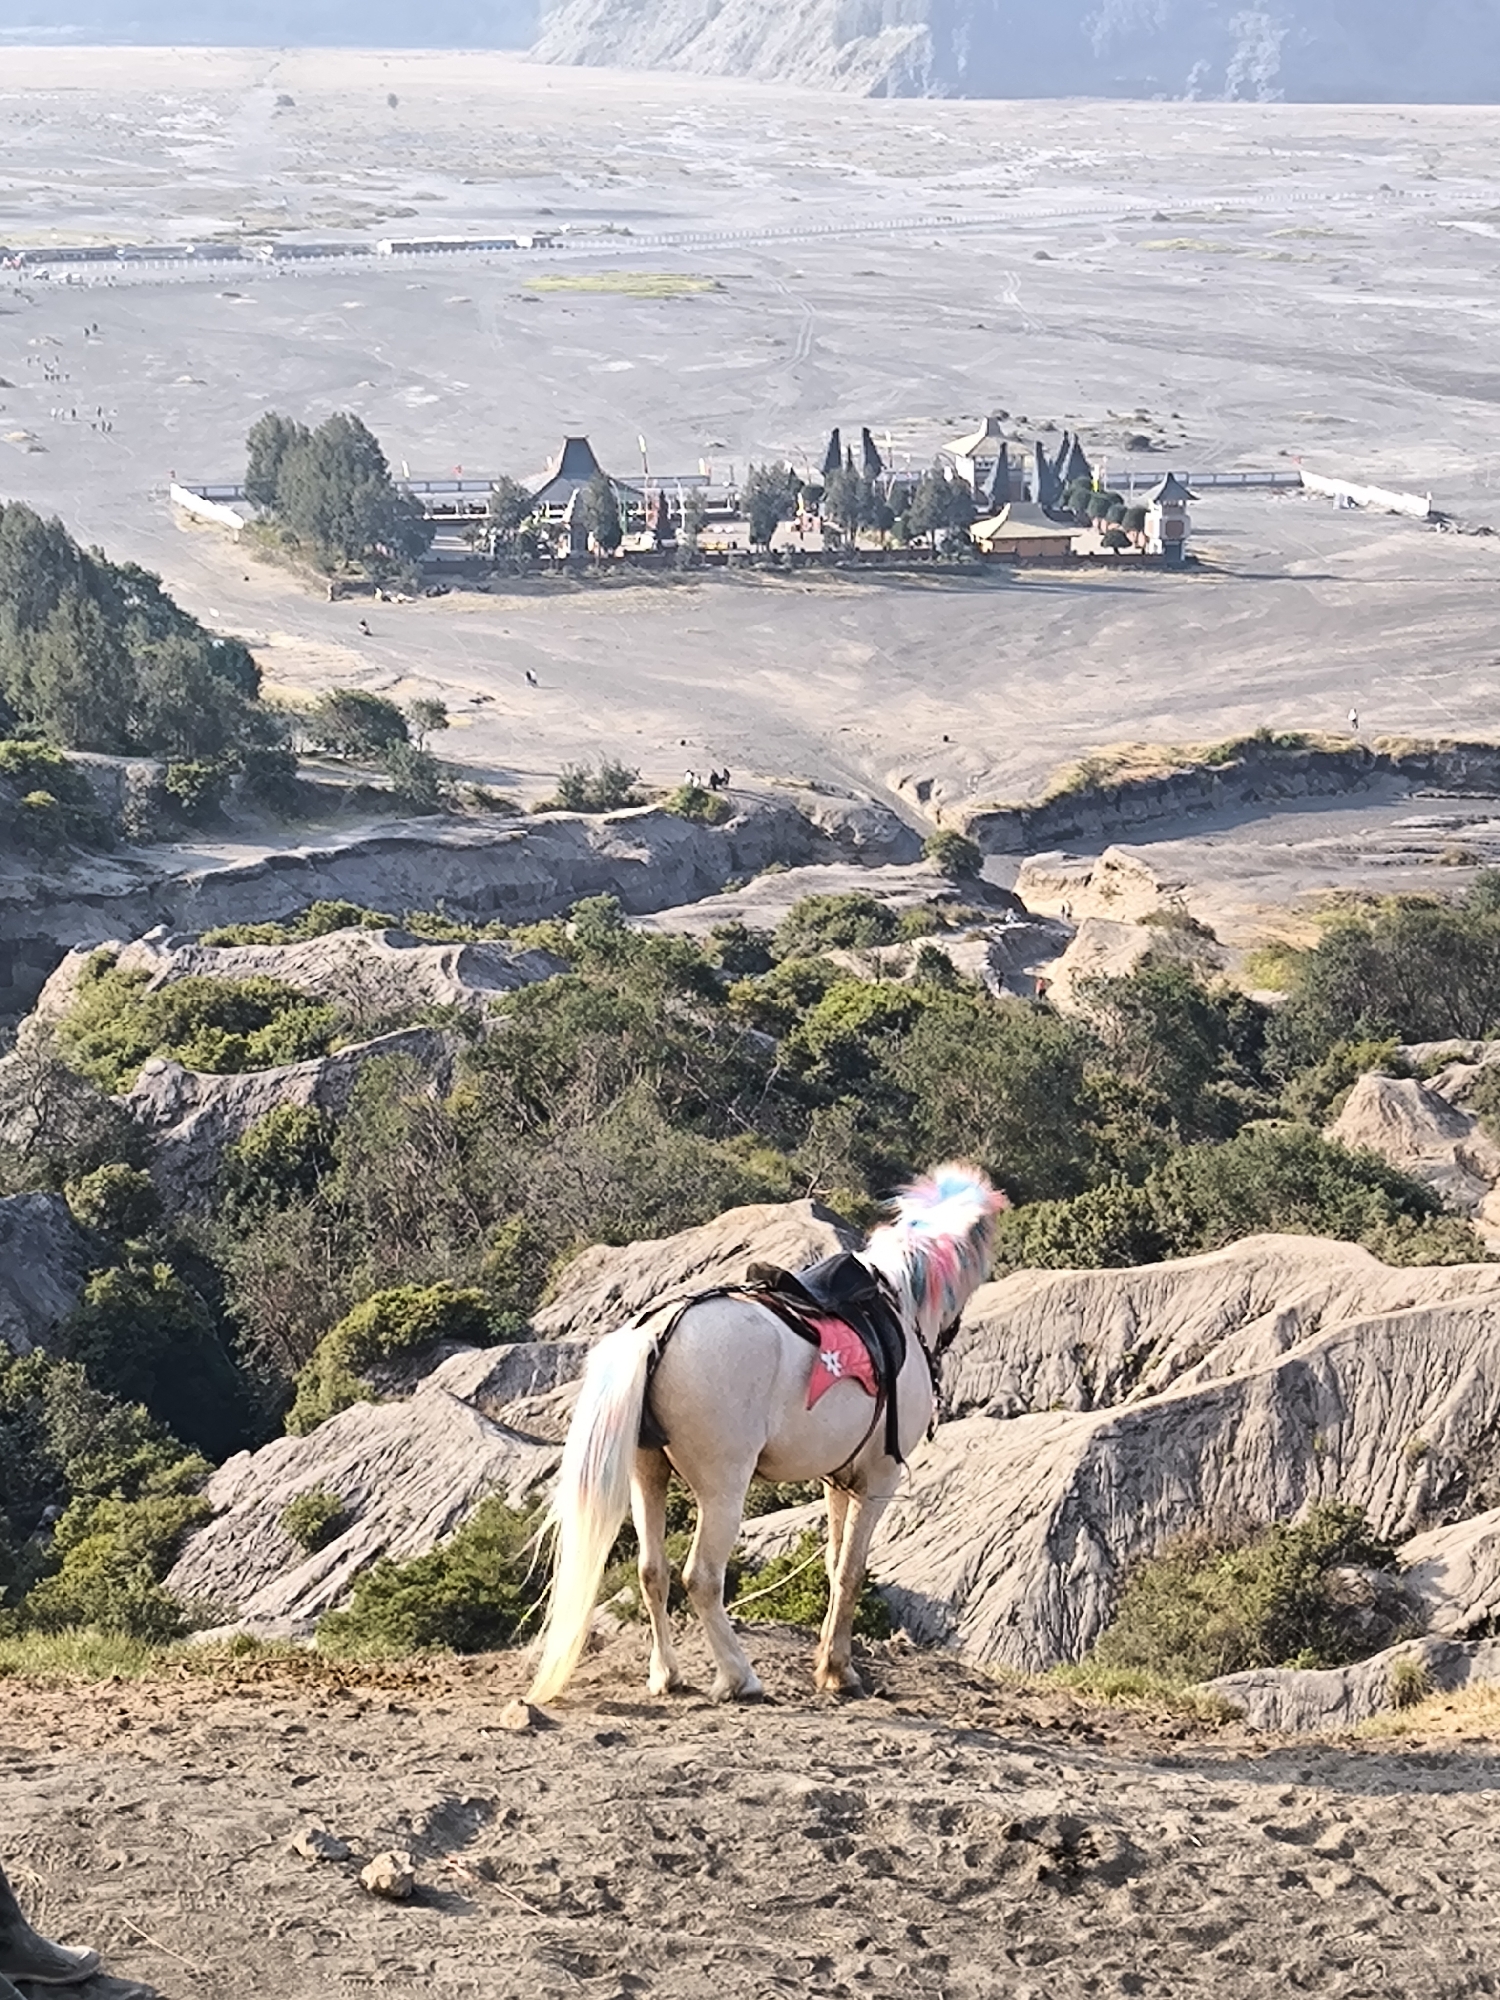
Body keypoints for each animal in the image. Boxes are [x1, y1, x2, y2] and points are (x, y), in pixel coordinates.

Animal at [526, 1164, 1003, 1705]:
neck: (895, 1301)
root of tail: (655, 1330)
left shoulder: (838, 1479)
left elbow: (833, 1565)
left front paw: (830, 1662)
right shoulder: (878, 1480)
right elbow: (852, 1571)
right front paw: (839, 1670)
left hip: (646, 1473)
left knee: (653, 1571)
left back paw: (666, 1674)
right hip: (723, 1489)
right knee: (701, 1578)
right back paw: (739, 1677)